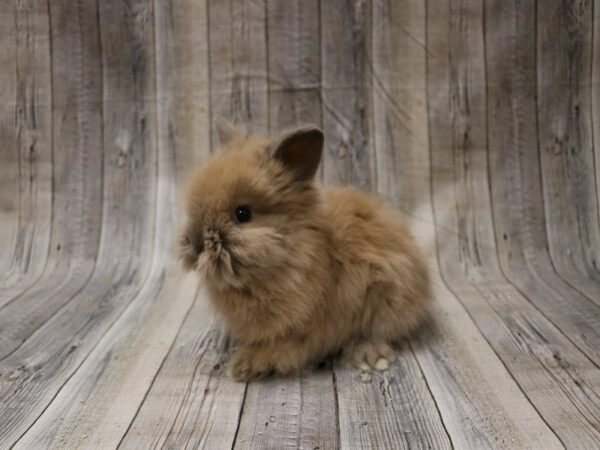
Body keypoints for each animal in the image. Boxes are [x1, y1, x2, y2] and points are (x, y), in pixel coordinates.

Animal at [179, 118, 432, 382]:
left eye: (242, 214)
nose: (196, 244)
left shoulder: (303, 328)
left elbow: (281, 349)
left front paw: (243, 366)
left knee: (375, 332)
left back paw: (370, 359)